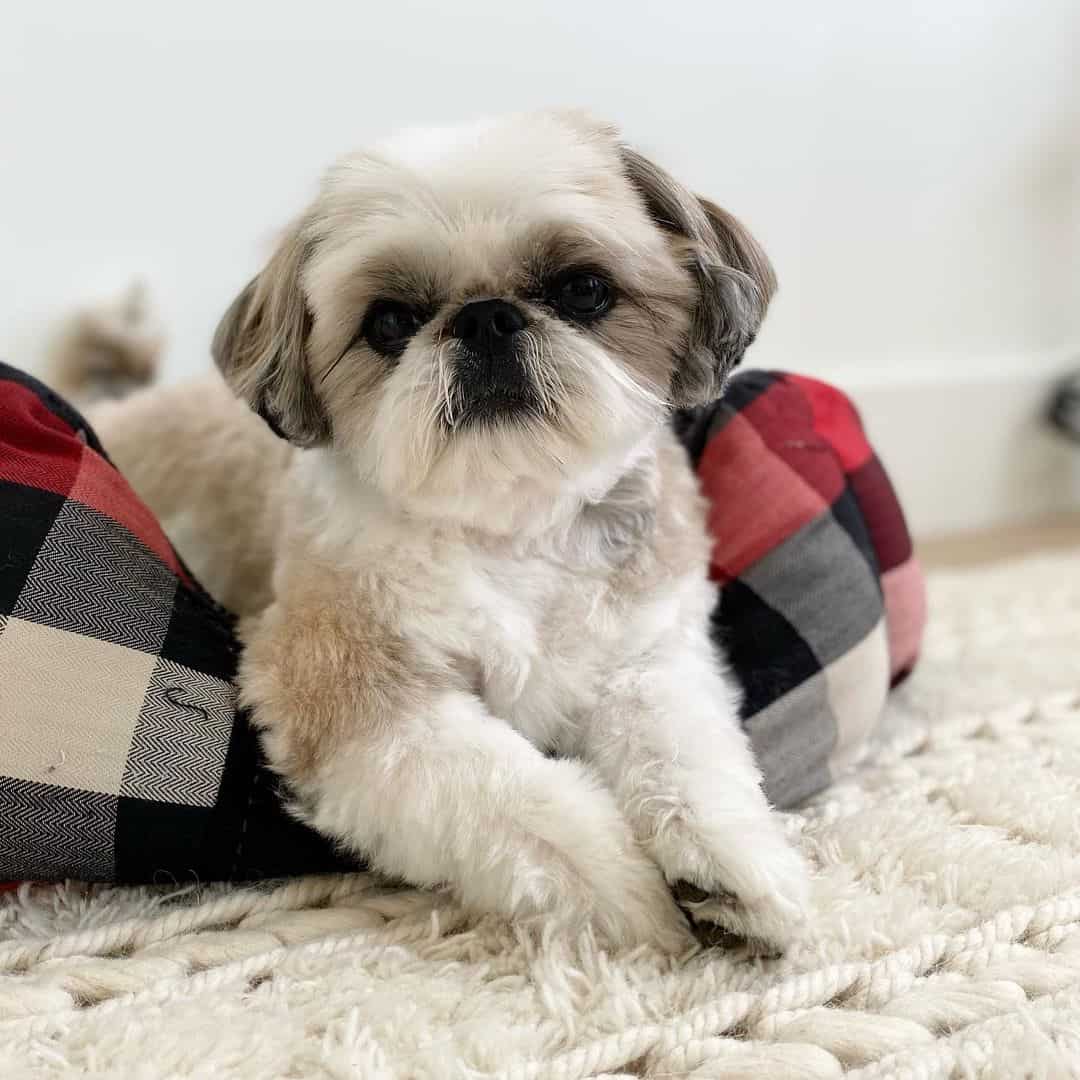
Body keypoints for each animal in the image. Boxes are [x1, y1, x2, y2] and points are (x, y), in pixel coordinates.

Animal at [88, 111, 807, 954]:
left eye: (583, 289)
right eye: (389, 322)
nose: (486, 317)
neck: (513, 529)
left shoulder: (647, 656)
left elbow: (684, 750)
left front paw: (732, 861)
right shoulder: (357, 698)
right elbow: (518, 798)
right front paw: (631, 898)